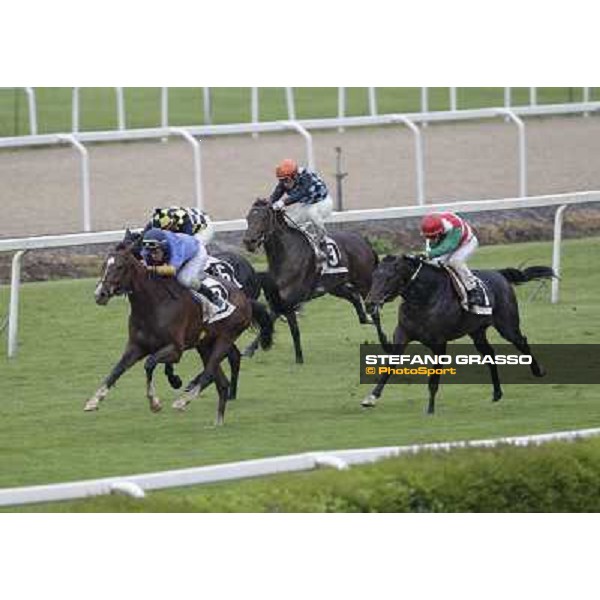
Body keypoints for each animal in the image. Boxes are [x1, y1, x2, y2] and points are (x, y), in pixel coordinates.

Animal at [85, 240, 274, 426]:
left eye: (120, 267)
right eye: (104, 266)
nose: (100, 294)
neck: (154, 304)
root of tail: (245, 299)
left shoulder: (175, 350)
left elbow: (149, 363)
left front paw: (154, 402)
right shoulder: (136, 347)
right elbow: (117, 370)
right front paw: (94, 400)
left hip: (225, 338)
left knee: (210, 374)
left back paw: (183, 401)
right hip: (205, 344)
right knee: (221, 382)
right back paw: (218, 421)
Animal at [360, 255, 552, 414]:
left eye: (390, 277)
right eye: (374, 276)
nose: (369, 304)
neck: (424, 298)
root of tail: (499, 274)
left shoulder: (439, 344)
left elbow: (434, 379)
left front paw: (430, 409)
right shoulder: (403, 334)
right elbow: (389, 366)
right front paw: (371, 397)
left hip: (507, 326)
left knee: (522, 342)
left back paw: (538, 371)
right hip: (477, 332)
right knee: (490, 354)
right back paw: (497, 393)